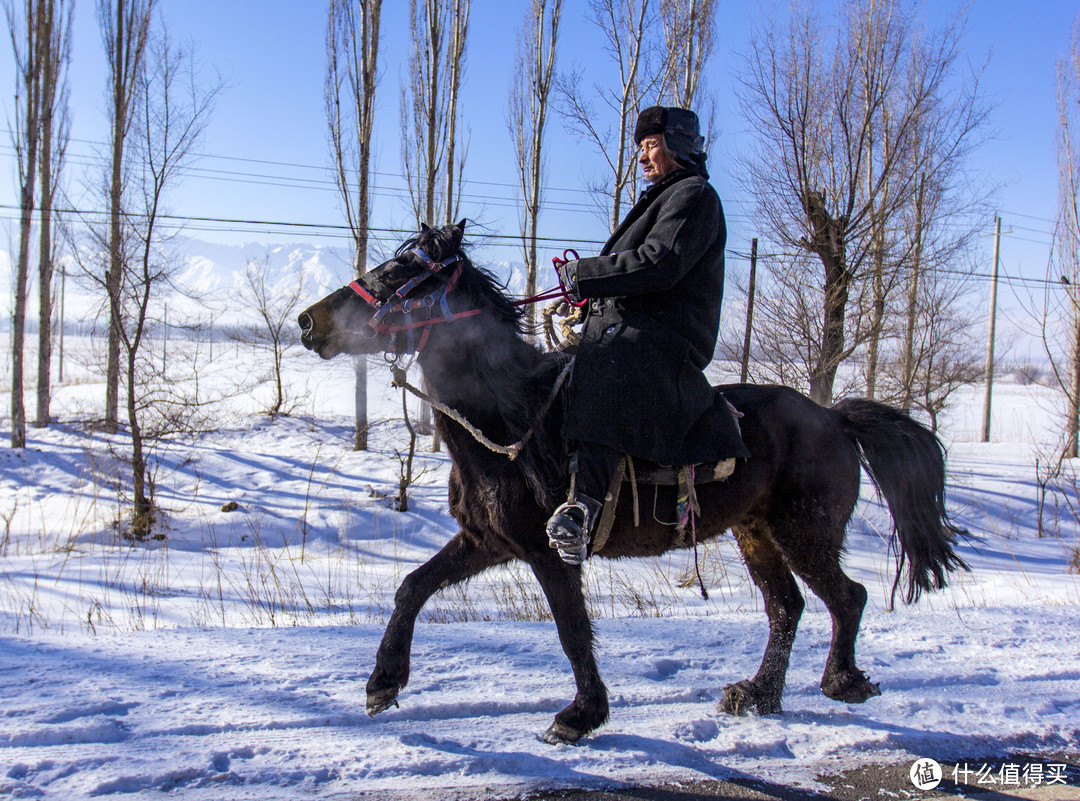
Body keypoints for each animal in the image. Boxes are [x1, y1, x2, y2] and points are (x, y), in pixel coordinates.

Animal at [298, 221, 972, 747]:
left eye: (400, 270)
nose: (308, 321)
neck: (515, 421)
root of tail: (834, 418)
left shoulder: (549, 550)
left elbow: (572, 630)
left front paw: (581, 715)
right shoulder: (487, 541)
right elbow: (412, 587)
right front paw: (383, 683)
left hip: (804, 531)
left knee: (846, 597)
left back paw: (841, 682)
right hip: (756, 533)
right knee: (787, 606)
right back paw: (758, 694)